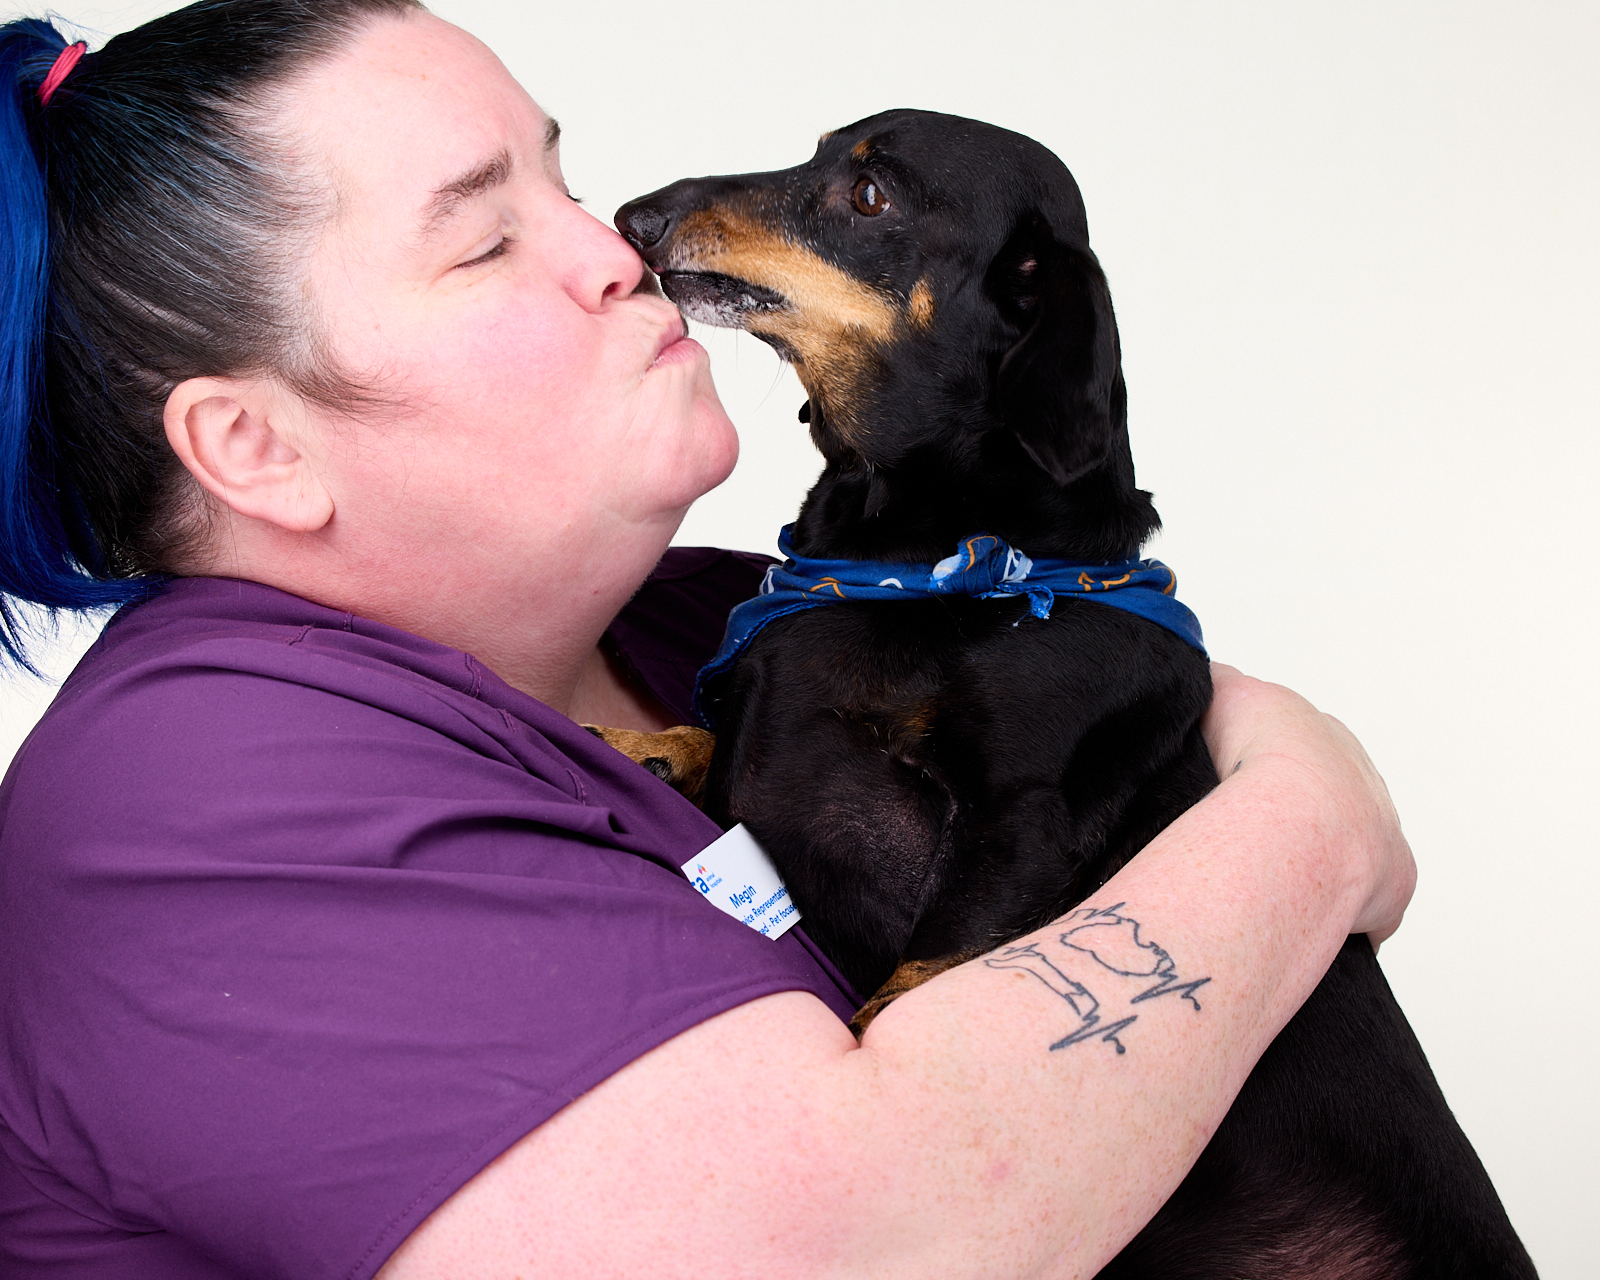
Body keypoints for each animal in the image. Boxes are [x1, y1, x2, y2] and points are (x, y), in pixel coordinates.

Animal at [604, 112, 1529, 1280]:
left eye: (871, 193)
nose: (634, 217)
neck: (936, 568)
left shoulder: (1019, 822)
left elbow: (906, 989)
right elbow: (708, 735)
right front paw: (638, 743)